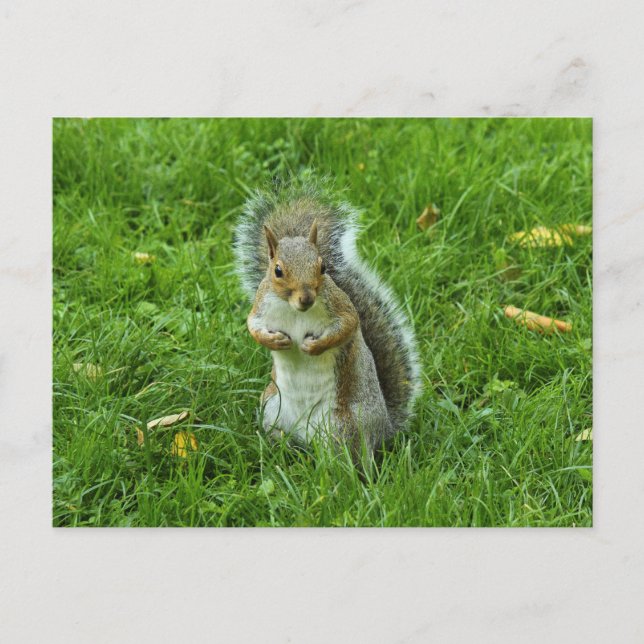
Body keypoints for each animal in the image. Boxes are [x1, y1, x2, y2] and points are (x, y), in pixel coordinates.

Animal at [234, 182, 420, 460]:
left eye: (322, 268)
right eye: (277, 270)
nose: (306, 298)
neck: (295, 311)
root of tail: (384, 429)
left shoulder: (341, 307)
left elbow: (348, 325)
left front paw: (314, 346)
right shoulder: (260, 306)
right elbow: (252, 326)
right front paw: (274, 341)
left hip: (344, 427)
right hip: (271, 406)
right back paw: (278, 449)